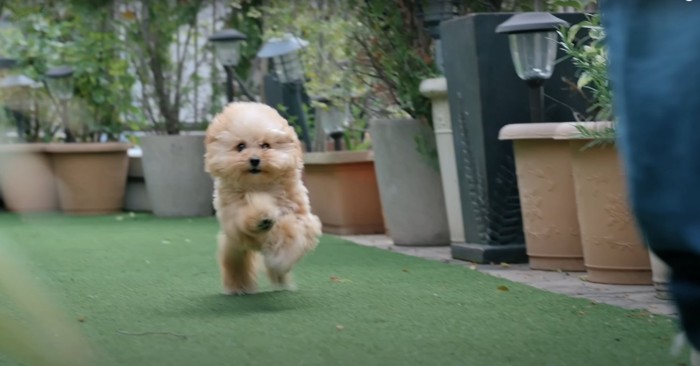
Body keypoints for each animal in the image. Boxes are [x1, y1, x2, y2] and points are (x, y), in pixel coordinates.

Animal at [204, 101, 322, 294]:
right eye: (240, 146)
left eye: (265, 145)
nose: (254, 160)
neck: (261, 186)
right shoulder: (234, 216)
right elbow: (249, 213)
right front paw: (262, 216)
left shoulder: (300, 216)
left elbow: (291, 233)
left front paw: (281, 258)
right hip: (234, 248)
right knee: (235, 265)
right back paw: (239, 287)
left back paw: (281, 282)